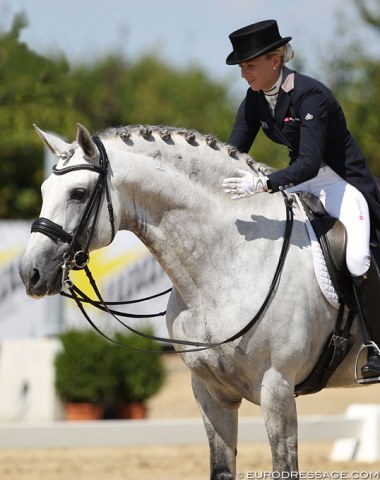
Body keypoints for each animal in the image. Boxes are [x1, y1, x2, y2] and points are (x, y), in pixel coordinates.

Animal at [20, 124, 366, 480]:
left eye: (77, 193)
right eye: (44, 190)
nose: (30, 273)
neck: (229, 260)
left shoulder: (277, 389)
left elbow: (284, 467)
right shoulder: (209, 391)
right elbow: (221, 467)